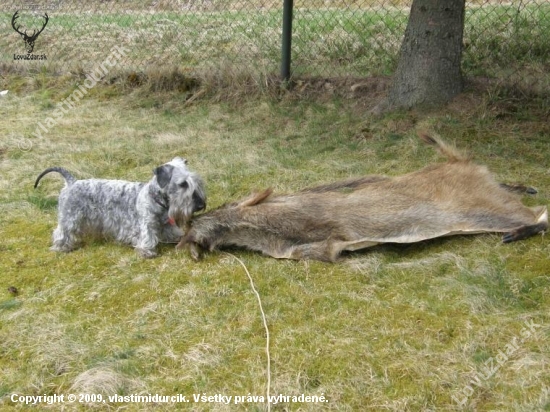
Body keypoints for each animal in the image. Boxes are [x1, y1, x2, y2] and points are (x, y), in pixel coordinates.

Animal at [35, 158, 207, 258]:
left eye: (196, 181)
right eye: (183, 184)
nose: (200, 205)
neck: (156, 199)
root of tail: (71, 182)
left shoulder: (167, 225)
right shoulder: (147, 225)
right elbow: (147, 238)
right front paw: (148, 252)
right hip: (69, 218)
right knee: (61, 232)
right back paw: (62, 247)